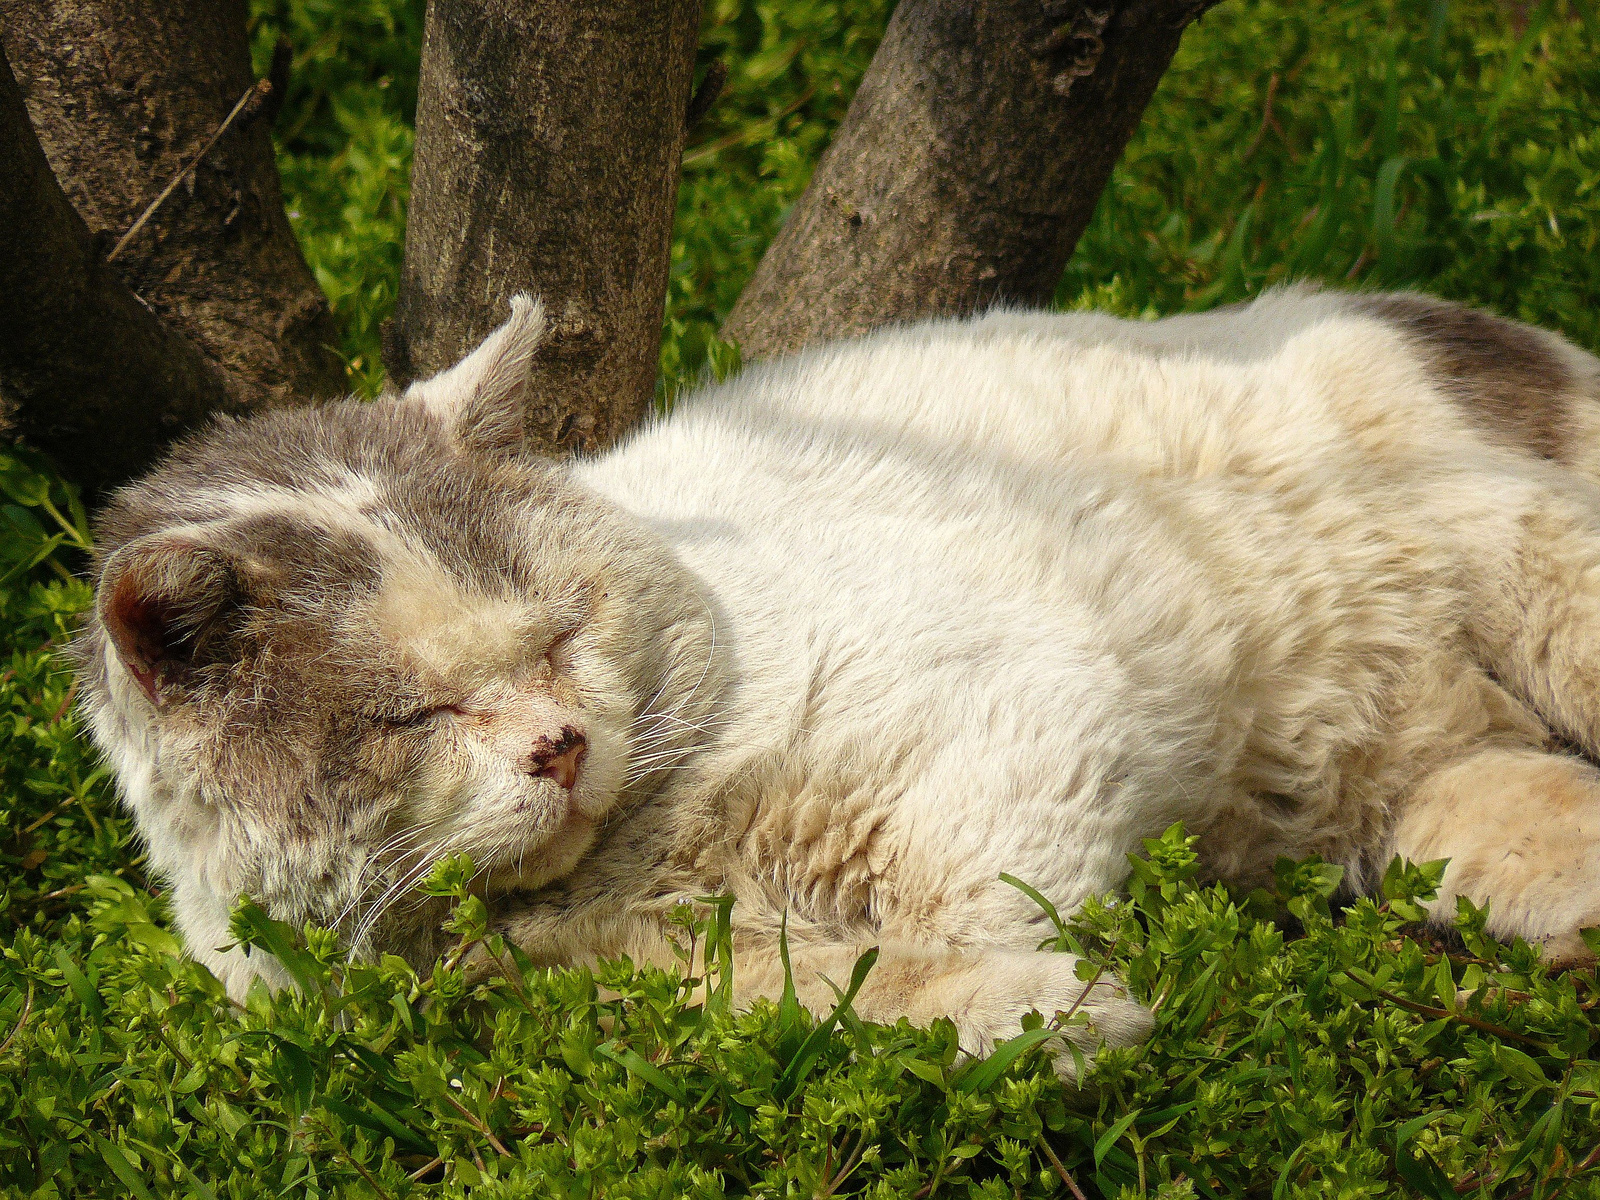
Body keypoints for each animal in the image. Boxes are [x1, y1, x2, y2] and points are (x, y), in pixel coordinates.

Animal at [81, 286, 1600, 1075]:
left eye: (561, 635)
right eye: (416, 718)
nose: (562, 744)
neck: (649, 864)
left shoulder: (1022, 708)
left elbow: (967, 896)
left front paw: (1087, 978)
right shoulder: (608, 998)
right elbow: (832, 996)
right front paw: (1039, 1017)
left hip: (1528, 565)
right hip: (1435, 790)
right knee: (1508, 815)